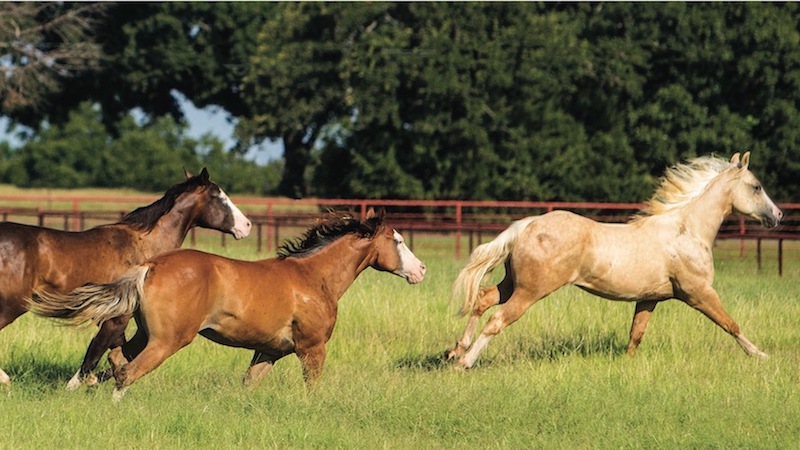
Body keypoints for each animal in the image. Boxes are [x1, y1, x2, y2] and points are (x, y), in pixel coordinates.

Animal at [0, 168, 251, 386]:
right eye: (219, 198)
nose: (247, 225)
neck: (144, 246)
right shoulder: (117, 317)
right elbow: (95, 356)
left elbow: (116, 355)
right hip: (13, 305)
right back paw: (5, 380)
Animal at [28, 209, 426, 400]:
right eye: (398, 241)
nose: (420, 270)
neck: (314, 278)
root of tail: (149, 267)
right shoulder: (312, 348)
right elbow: (312, 389)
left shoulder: (268, 351)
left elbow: (249, 383)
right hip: (168, 340)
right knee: (128, 370)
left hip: (144, 333)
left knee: (116, 357)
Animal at [445, 152, 783, 369]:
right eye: (756, 186)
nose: (778, 215)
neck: (686, 230)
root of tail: (527, 224)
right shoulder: (698, 293)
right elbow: (731, 324)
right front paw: (760, 355)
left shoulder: (649, 299)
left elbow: (635, 335)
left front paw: (625, 366)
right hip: (530, 292)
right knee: (497, 320)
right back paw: (465, 362)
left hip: (512, 284)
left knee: (482, 300)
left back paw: (455, 350)